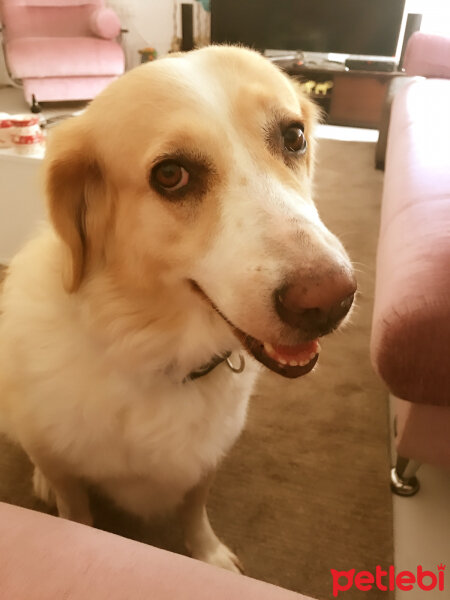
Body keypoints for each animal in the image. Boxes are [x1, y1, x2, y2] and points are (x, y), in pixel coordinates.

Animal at [0, 47, 356, 572]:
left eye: (294, 137)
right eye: (171, 175)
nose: (329, 301)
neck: (152, 348)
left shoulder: (206, 458)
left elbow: (194, 510)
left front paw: (208, 556)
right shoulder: (65, 470)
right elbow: (76, 512)